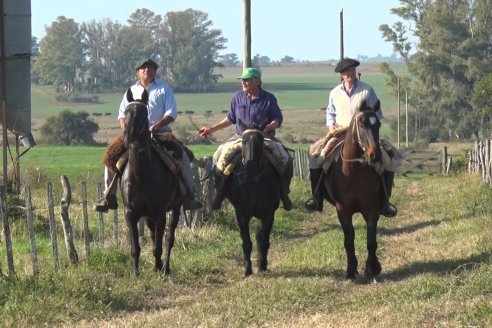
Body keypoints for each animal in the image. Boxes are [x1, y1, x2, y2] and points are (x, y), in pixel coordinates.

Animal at [121, 87, 183, 276]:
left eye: (143, 113)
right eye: (126, 111)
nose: (129, 137)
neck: (141, 176)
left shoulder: (160, 213)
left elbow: (158, 246)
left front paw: (160, 270)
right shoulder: (131, 214)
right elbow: (135, 247)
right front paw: (135, 273)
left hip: (176, 208)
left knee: (169, 238)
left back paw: (165, 267)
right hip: (148, 216)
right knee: (154, 233)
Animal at [226, 129, 282, 276]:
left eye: (260, 142)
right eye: (243, 141)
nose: (249, 173)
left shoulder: (268, 215)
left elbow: (264, 241)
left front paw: (262, 266)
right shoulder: (241, 215)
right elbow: (246, 242)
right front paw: (247, 270)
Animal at [324, 100, 386, 280]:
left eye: (378, 124)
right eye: (361, 124)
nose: (375, 155)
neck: (353, 172)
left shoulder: (372, 209)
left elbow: (371, 240)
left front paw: (372, 268)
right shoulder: (343, 211)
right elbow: (349, 240)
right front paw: (351, 270)